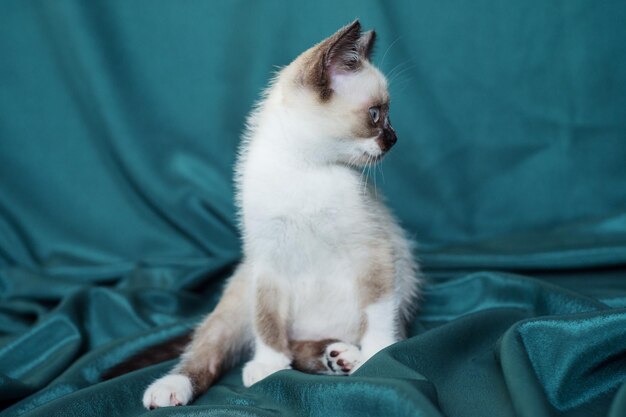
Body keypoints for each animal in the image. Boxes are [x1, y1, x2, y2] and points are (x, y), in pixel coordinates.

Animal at [141, 21, 420, 408]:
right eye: (376, 114)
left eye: (387, 114)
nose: (394, 138)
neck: (304, 170)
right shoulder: (268, 262)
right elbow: (268, 323)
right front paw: (270, 366)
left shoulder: (374, 249)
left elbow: (377, 313)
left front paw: (377, 354)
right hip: (238, 297)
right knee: (209, 350)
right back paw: (170, 388)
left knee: (314, 342)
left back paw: (343, 356)